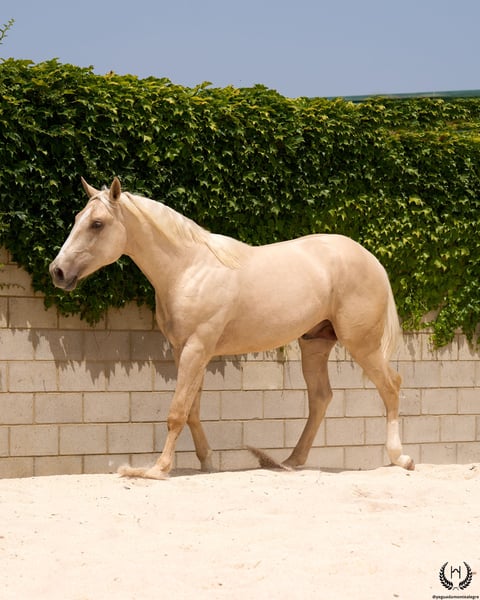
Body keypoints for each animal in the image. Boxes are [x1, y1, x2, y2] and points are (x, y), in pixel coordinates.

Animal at [49, 177, 414, 479]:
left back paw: (400, 458)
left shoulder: (196, 349)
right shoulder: (186, 351)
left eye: (97, 223)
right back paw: (291, 461)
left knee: (391, 386)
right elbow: (192, 410)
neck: (189, 268)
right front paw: (207, 462)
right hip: (314, 344)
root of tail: (371, 259)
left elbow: (177, 411)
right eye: (77, 219)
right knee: (320, 398)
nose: (58, 271)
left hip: (362, 345)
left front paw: (157, 469)